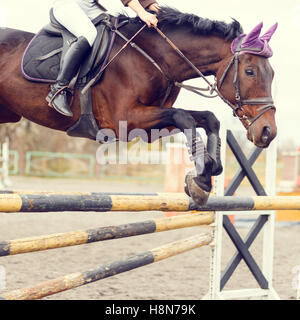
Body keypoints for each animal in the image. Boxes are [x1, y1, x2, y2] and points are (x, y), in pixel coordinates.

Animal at [0, 7, 278, 205]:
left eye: (272, 73)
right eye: (250, 71)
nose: (268, 132)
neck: (155, 57)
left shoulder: (149, 128)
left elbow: (208, 118)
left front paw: (208, 173)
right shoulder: (125, 119)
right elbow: (185, 118)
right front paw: (201, 177)